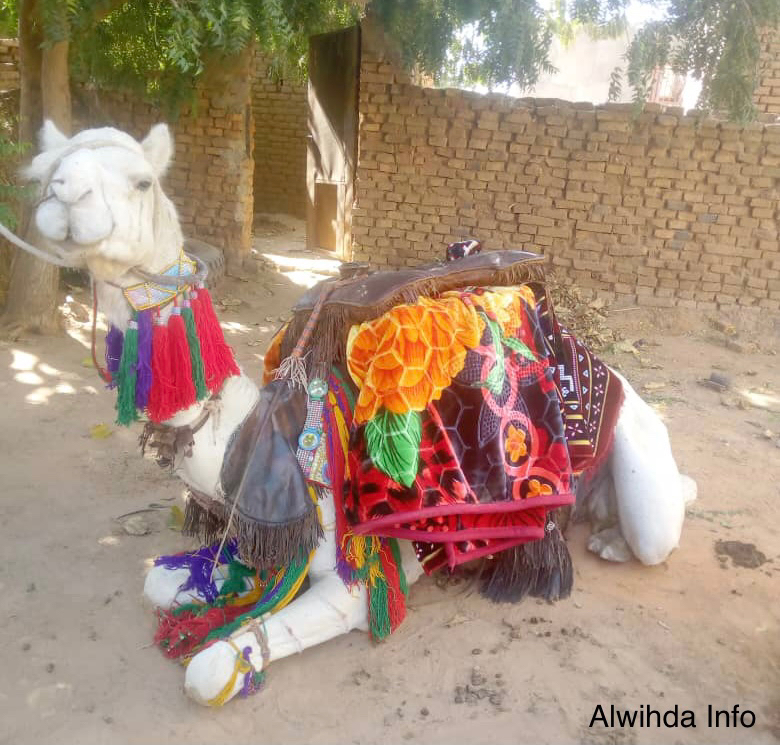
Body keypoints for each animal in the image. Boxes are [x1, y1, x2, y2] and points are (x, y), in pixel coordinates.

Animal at [24, 120, 696, 704]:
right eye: (50, 168)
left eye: (142, 180)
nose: (63, 196)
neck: (253, 433)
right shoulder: (257, 531)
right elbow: (161, 581)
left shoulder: (353, 578)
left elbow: (211, 666)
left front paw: (231, 660)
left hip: (641, 458)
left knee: (657, 531)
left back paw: (614, 540)